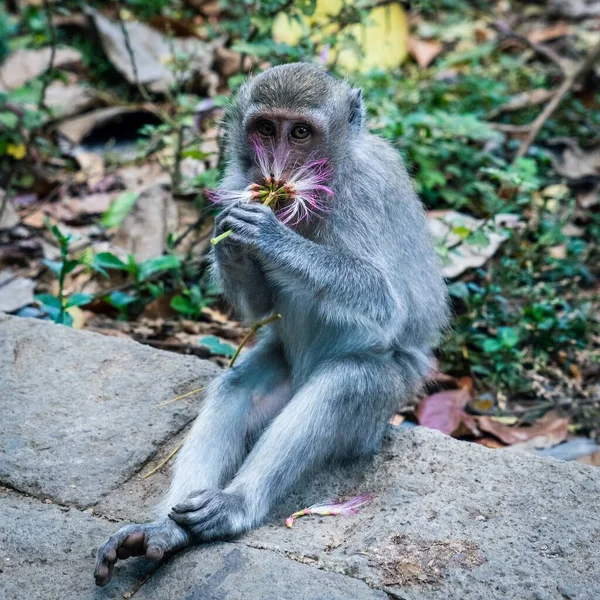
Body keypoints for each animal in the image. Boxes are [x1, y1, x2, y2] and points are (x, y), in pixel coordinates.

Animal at [94, 62, 448, 584]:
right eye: (265, 129)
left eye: (300, 132)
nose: (275, 170)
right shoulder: (237, 173)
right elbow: (260, 306)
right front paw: (230, 233)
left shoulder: (370, 190)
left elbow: (386, 302)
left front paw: (270, 235)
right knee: (237, 388)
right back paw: (168, 530)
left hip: (386, 399)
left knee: (346, 382)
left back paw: (236, 505)